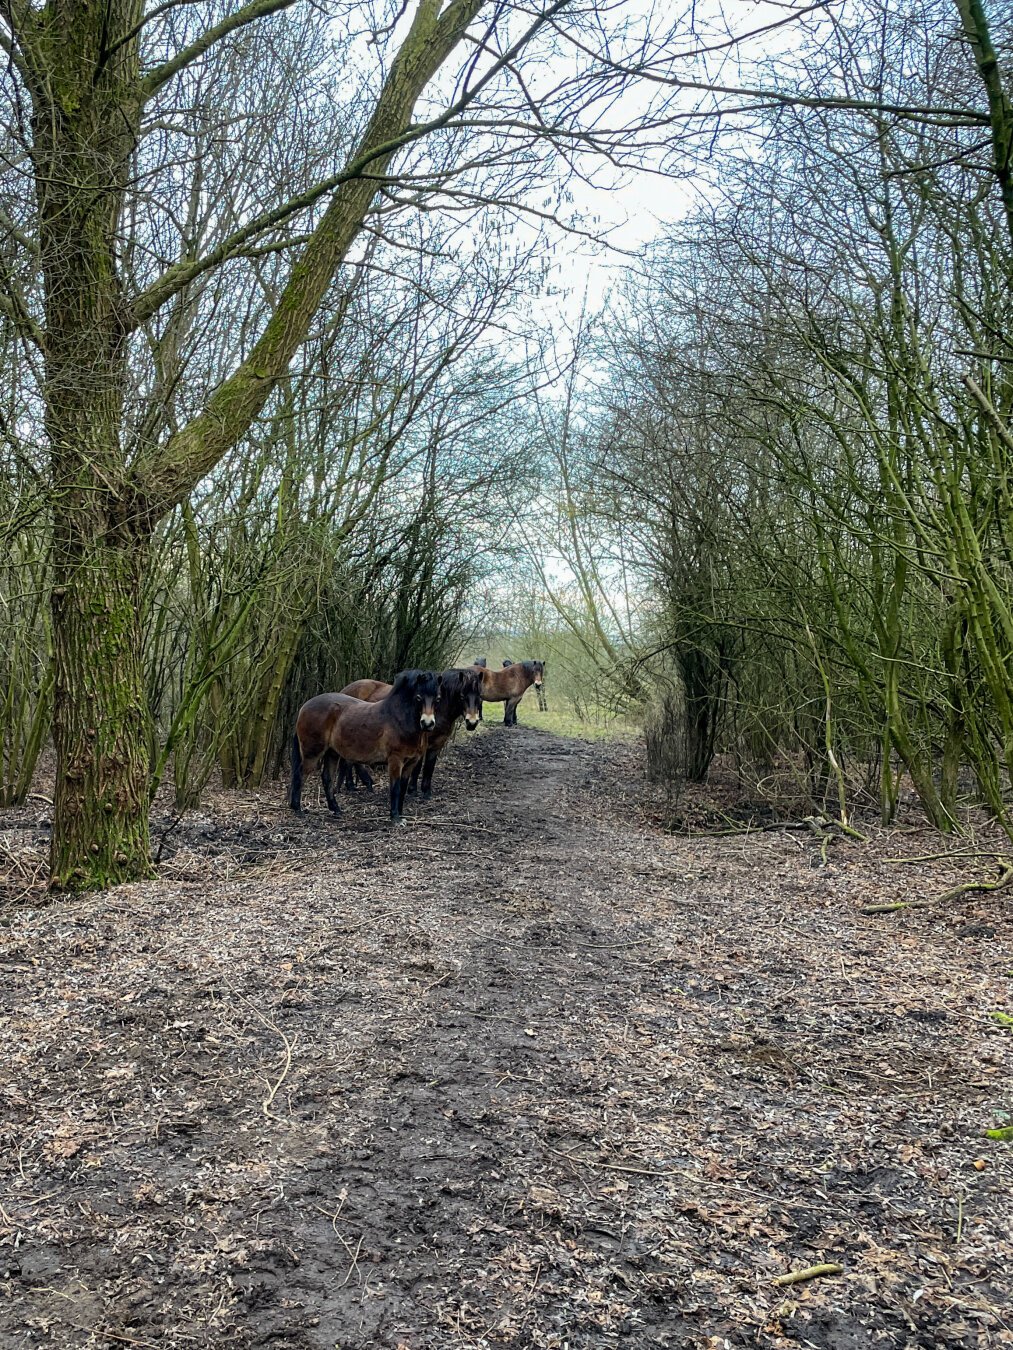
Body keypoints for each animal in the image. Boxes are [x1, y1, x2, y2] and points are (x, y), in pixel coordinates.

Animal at [289, 666, 440, 815]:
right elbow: (395, 788)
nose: (427, 723)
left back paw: (336, 809)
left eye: (438, 698)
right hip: (312, 753)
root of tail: (304, 707)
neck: (398, 719)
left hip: (332, 753)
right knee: (300, 774)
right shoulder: (395, 760)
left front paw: (400, 814)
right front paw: (395, 817)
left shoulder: (411, 763)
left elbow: (402, 789)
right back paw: (297, 808)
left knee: (327, 778)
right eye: (418, 697)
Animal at [337, 666, 483, 793]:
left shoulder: (437, 744)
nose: (472, 722)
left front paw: (426, 792)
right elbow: (417, 768)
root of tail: (344, 691)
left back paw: (355, 784)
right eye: (462, 696)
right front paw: (412, 790)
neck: (440, 710)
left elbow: (429, 767)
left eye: (480, 697)